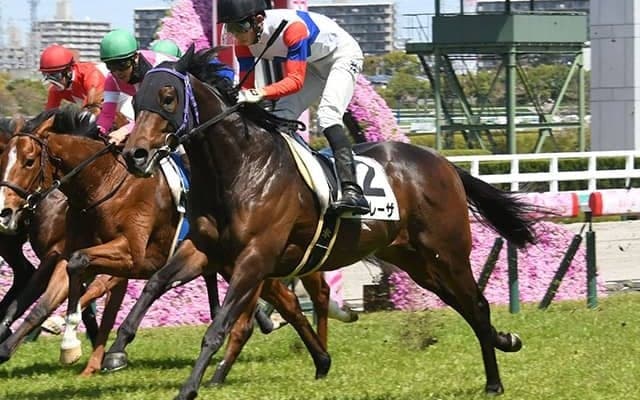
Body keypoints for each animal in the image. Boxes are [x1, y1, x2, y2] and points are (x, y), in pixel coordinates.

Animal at [0, 107, 333, 381]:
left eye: (29, 161)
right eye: (3, 159)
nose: (6, 211)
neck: (102, 185)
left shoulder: (130, 257)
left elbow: (83, 279)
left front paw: (79, 346)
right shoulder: (65, 256)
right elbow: (45, 302)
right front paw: (11, 347)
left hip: (250, 260)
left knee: (292, 299)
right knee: (288, 302)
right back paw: (315, 357)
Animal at [118, 46, 538, 400]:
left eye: (168, 98)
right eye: (137, 102)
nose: (135, 155)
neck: (241, 168)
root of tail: (444, 163)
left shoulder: (254, 258)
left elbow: (217, 327)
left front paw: (188, 388)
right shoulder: (204, 249)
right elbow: (154, 284)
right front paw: (118, 350)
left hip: (447, 252)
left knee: (477, 305)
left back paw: (494, 381)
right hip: (417, 262)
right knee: (463, 305)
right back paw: (506, 341)